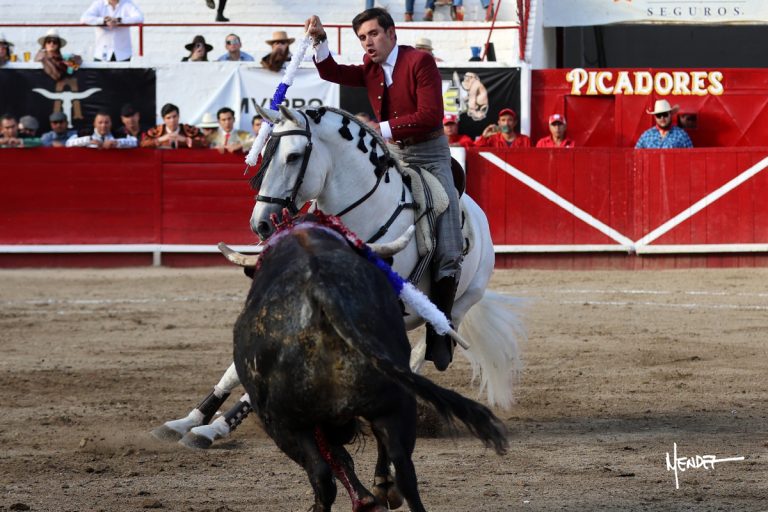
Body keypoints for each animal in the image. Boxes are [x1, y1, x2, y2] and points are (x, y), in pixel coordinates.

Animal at [225, 214, 508, 512]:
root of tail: (322, 294)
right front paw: (368, 497)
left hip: (283, 422)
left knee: (322, 475)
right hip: (393, 401)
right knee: (403, 468)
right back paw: (382, 489)